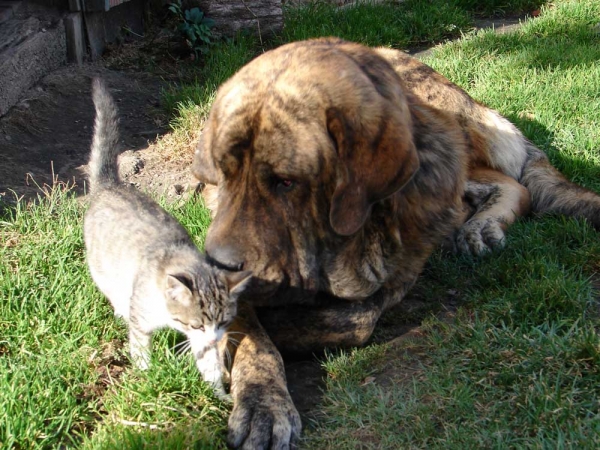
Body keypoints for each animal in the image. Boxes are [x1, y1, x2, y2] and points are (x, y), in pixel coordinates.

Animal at [83, 78, 250, 398]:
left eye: (223, 321)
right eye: (196, 325)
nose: (214, 338)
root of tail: (110, 185)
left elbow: (209, 364)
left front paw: (220, 395)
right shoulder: (144, 318)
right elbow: (139, 347)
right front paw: (146, 375)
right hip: (102, 268)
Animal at [191, 37, 600, 446]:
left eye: (286, 182)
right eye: (224, 175)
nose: (219, 264)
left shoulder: (400, 270)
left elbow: (358, 317)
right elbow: (254, 340)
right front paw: (263, 402)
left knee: (511, 184)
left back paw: (480, 225)